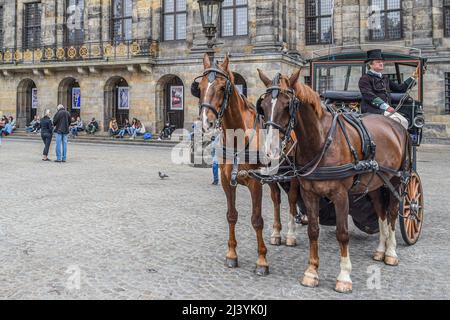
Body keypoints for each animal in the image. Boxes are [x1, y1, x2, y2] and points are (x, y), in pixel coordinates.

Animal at [197, 55, 302, 276]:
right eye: (199, 87)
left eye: (222, 87)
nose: (206, 123)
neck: (239, 139)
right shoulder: (227, 182)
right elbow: (231, 216)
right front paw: (231, 254)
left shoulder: (255, 183)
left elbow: (256, 220)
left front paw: (261, 260)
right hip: (272, 176)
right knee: (276, 198)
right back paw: (277, 233)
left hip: (294, 175)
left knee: (291, 200)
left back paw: (290, 235)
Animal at [256, 69, 412, 292]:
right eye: (264, 106)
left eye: (287, 105)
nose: (269, 151)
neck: (321, 142)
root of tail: (396, 125)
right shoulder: (309, 193)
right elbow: (313, 230)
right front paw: (311, 272)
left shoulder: (340, 195)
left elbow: (342, 233)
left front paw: (344, 277)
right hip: (375, 183)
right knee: (381, 212)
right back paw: (380, 250)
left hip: (397, 181)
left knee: (391, 213)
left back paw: (391, 252)